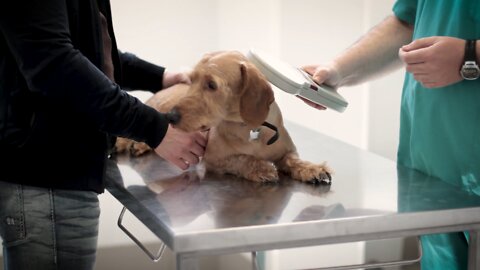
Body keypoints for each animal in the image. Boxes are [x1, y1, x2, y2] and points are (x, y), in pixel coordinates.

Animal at [116, 51, 334, 184]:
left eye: (212, 85)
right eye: (193, 79)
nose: (171, 117)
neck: (248, 128)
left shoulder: (288, 151)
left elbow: (293, 160)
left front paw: (313, 169)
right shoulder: (213, 159)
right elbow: (242, 158)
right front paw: (262, 168)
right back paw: (131, 143)